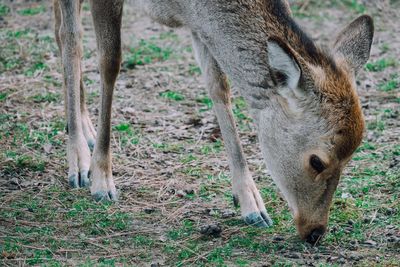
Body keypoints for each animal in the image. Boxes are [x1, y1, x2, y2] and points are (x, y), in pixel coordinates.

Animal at [52, 0, 372, 245]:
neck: (175, 7)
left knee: (60, 28)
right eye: (316, 161)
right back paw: (79, 158)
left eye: (351, 158)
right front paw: (101, 180)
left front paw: (251, 204)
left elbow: (218, 85)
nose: (315, 232)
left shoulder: (198, 25)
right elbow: (109, 62)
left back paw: (85, 129)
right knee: (70, 35)